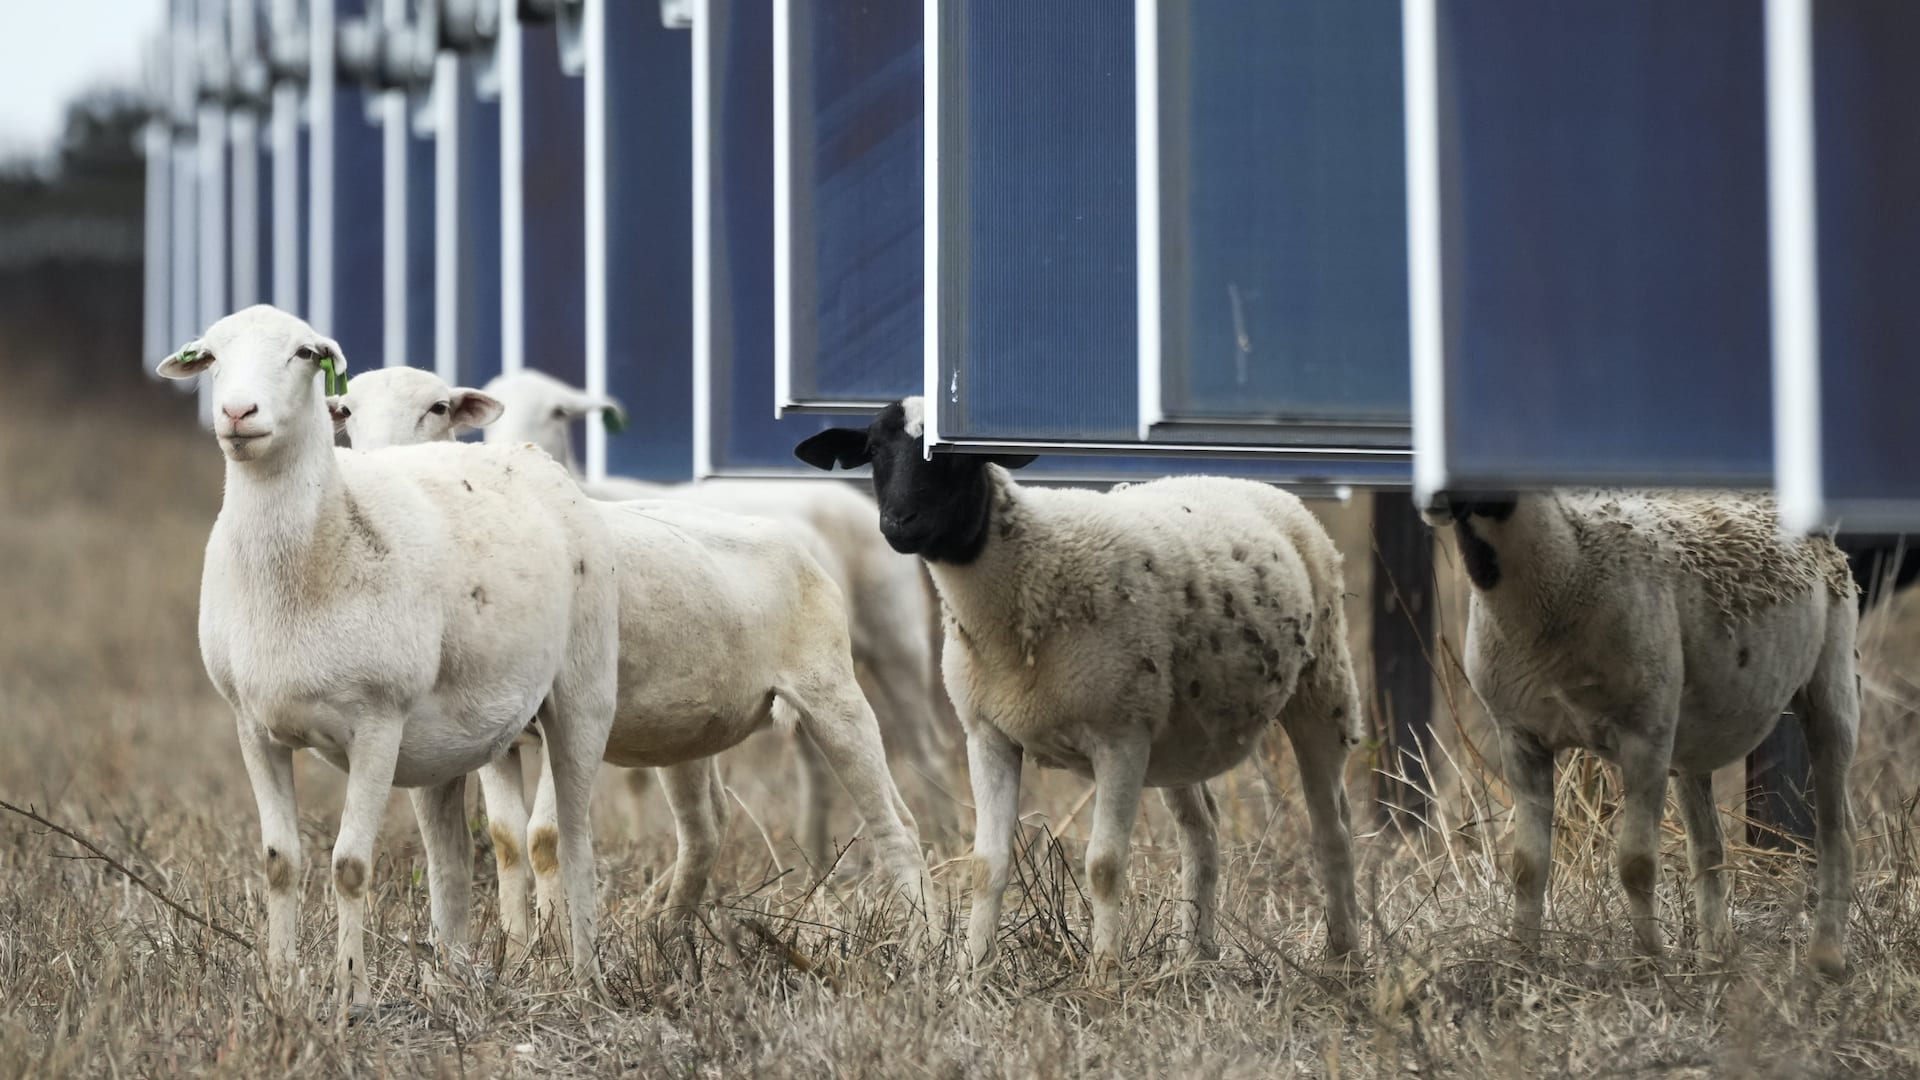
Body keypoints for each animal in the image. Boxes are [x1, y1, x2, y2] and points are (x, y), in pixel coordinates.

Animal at [154, 305, 619, 1008]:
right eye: (210, 356)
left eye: (303, 353)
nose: (237, 412)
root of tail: (527, 455)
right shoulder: (252, 724)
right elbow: (279, 862)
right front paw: (280, 985)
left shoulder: (376, 722)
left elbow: (349, 865)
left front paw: (352, 993)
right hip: (449, 742)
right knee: (454, 859)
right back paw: (458, 977)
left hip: (581, 695)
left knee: (572, 838)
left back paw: (584, 979)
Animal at [328, 368, 933, 935]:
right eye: (347, 412)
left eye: (438, 408)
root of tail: (791, 540)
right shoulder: (497, 736)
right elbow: (506, 840)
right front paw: (518, 945)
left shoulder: (566, 716)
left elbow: (546, 837)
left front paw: (550, 950)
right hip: (690, 726)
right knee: (705, 826)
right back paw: (670, 934)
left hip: (836, 689)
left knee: (900, 821)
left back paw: (922, 941)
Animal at [795, 398, 1364, 975]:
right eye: (872, 450)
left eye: (953, 455)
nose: (897, 523)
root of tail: (1234, 479)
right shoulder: (989, 732)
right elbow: (986, 865)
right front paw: (972, 973)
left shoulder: (1119, 736)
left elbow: (1105, 866)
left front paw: (1103, 975)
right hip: (1176, 729)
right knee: (1201, 830)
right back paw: (1195, 958)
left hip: (1323, 687)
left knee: (1333, 830)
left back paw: (1344, 958)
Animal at [1427, 490, 1859, 977]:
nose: (1433, 501)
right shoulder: (1520, 735)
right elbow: (1527, 865)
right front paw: (1521, 957)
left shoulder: (1645, 735)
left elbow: (1635, 863)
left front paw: (1649, 962)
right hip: (1692, 738)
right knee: (1707, 847)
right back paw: (1715, 959)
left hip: (1832, 681)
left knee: (1836, 829)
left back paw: (1826, 957)